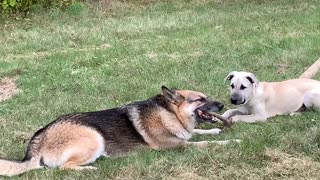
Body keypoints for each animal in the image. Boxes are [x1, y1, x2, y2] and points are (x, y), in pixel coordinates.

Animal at [0, 86, 232, 176]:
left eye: (206, 96)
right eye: (200, 100)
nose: (223, 105)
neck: (171, 113)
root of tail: (41, 136)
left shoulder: (185, 134)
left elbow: (199, 133)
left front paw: (215, 131)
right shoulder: (179, 146)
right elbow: (203, 142)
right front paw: (231, 142)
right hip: (94, 138)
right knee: (63, 168)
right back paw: (90, 169)